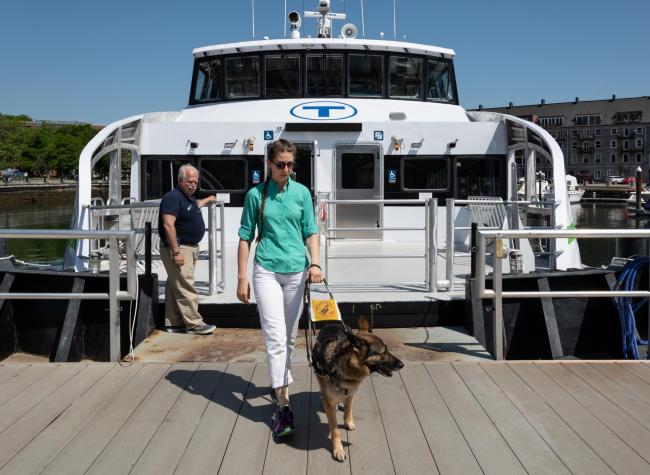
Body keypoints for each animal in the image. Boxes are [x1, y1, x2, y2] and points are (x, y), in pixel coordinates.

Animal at [312, 318, 402, 462]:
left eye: (387, 350)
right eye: (383, 352)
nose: (402, 365)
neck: (343, 368)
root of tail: (332, 323)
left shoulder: (351, 392)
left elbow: (348, 409)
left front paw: (348, 422)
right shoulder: (330, 401)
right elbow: (335, 430)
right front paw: (338, 450)